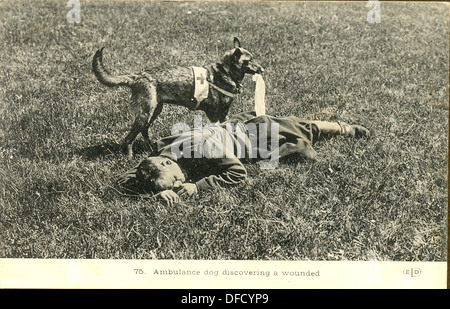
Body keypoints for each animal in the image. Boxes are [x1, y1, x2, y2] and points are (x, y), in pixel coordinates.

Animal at [91, 37, 264, 158]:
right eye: (249, 61)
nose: (262, 69)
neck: (225, 72)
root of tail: (137, 77)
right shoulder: (214, 114)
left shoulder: (223, 114)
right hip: (145, 113)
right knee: (129, 138)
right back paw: (129, 156)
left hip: (154, 111)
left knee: (144, 131)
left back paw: (151, 147)